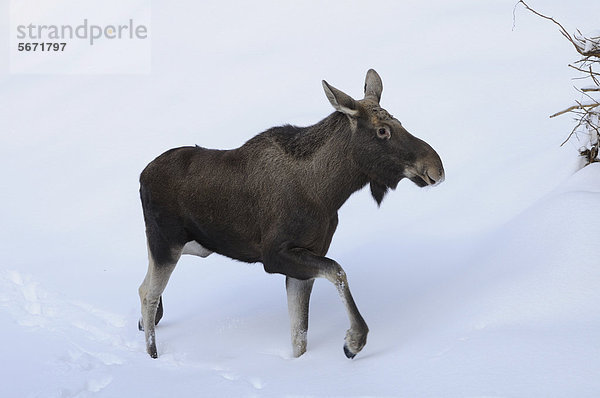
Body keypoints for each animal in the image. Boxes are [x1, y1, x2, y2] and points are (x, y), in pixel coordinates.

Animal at [138, 70, 442, 360]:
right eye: (382, 131)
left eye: (399, 122)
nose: (436, 168)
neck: (327, 192)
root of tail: (142, 177)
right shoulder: (275, 255)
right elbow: (338, 271)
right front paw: (354, 341)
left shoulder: (305, 259)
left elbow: (299, 337)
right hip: (166, 243)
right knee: (148, 294)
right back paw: (152, 354)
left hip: (188, 245)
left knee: (145, 287)